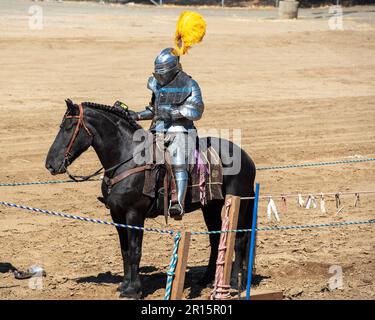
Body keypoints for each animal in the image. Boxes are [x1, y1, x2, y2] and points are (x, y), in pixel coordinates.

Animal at [43, 99, 256, 298]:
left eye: (69, 127)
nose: (50, 164)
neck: (127, 158)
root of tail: (246, 157)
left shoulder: (134, 215)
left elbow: (135, 250)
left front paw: (133, 290)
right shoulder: (117, 215)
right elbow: (125, 250)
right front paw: (124, 285)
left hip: (238, 205)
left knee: (239, 239)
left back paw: (235, 284)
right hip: (210, 207)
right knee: (216, 238)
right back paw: (206, 279)